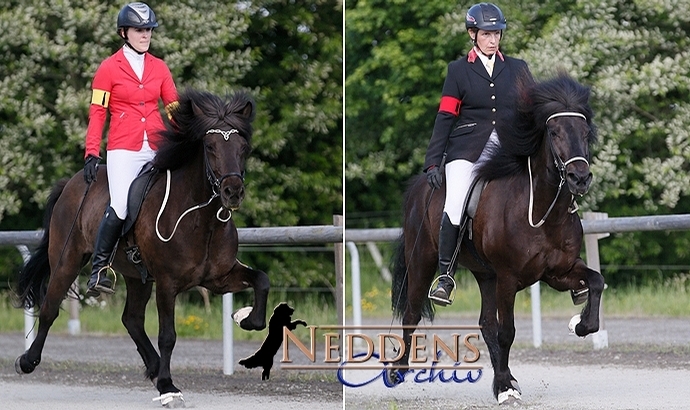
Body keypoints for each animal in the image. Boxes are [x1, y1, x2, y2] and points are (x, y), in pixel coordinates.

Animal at [15, 89, 268, 404]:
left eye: (243, 147)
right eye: (210, 146)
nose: (233, 192)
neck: (201, 217)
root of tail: (72, 183)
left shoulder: (218, 278)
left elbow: (261, 279)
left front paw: (247, 318)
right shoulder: (168, 283)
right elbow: (168, 336)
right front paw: (168, 387)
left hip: (137, 276)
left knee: (132, 319)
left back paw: (155, 367)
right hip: (67, 261)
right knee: (50, 308)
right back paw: (27, 361)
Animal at [392, 73, 600, 404]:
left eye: (585, 132)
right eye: (554, 132)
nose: (579, 178)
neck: (542, 211)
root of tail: (422, 184)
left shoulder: (558, 272)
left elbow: (596, 281)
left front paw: (579, 324)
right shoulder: (508, 277)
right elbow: (507, 332)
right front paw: (504, 389)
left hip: (485, 274)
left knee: (486, 323)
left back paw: (506, 378)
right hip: (423, 262)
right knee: (412, 312)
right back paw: (397, 371)